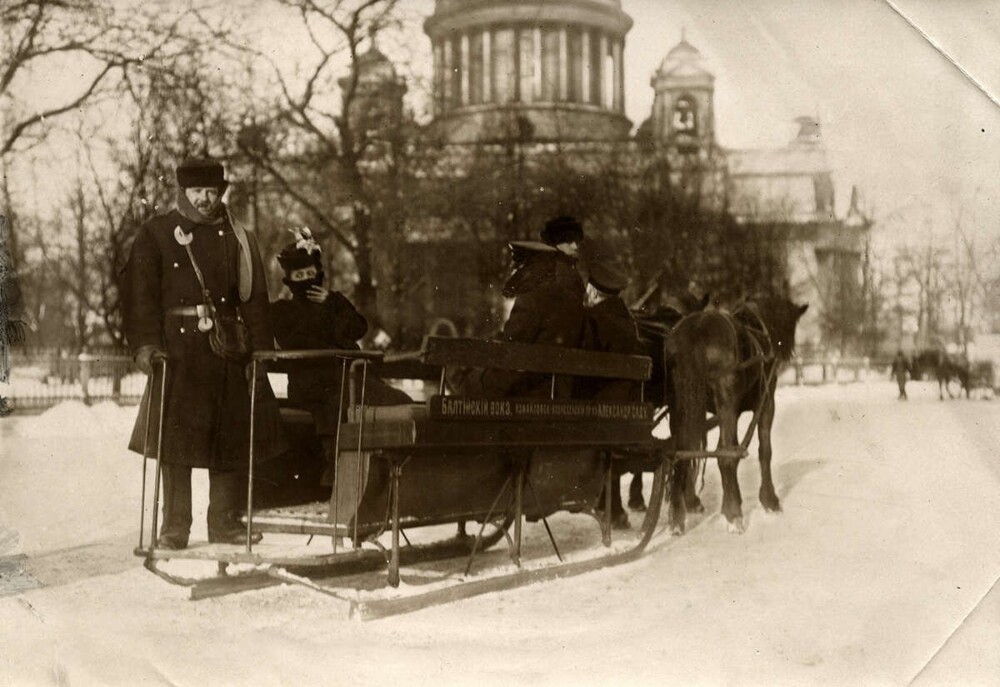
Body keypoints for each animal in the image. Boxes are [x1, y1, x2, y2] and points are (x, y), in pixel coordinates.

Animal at [664, 292, 812, 536]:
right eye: (789, 326)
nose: (787, 353)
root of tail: (696, 328)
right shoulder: (766, 404)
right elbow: (763, 451)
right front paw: (769, 500)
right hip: (726, 405)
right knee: (724, 455)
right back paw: (734, 514)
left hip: (680, 406)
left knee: (680, 453)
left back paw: (677, 517)